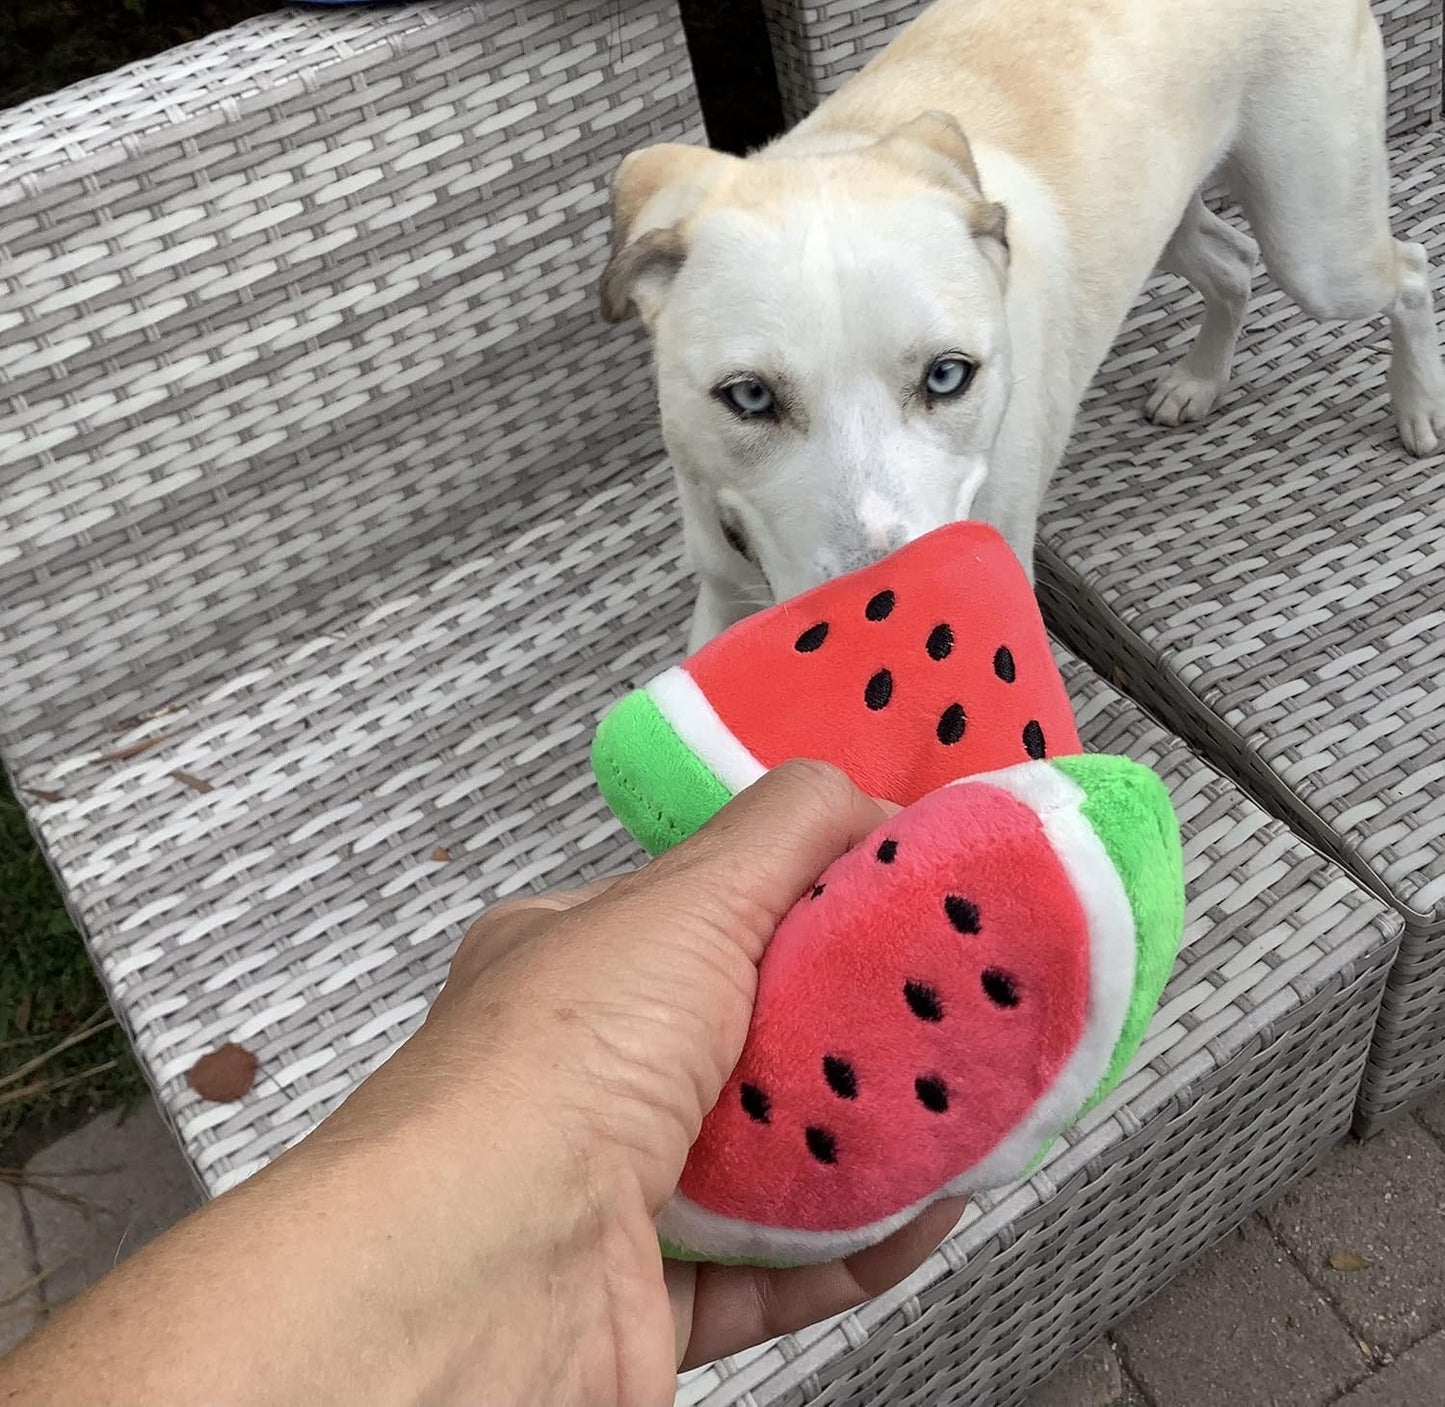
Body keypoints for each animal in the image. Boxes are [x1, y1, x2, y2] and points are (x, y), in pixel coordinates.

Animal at [598, 0, 1445, 650]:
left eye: (947, 375)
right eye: (747, 396)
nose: (886, 613)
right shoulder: (718, 600)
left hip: (1317, 248)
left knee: (1407, 269)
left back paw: (1417, 408)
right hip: (1165, 218)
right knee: (1233, 263)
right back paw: (1199, 381)